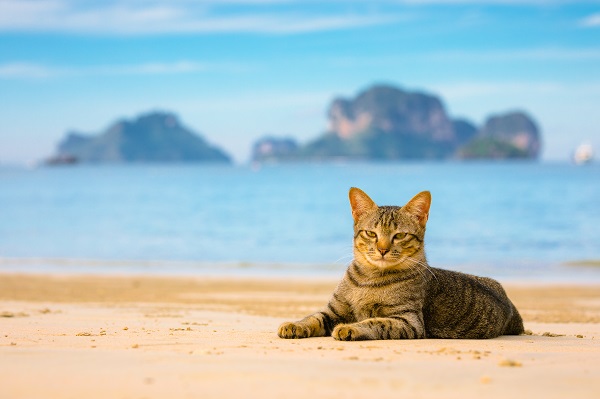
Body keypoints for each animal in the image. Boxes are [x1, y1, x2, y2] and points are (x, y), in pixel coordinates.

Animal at [278, 188, 524, 340]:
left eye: (400, 236)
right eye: (371, 233)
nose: (383, 249)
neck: (369, 278)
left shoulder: (408, 320)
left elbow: (375, 322)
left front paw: (350, 327)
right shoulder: (333, 310)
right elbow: (313, 317)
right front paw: (295, 324)